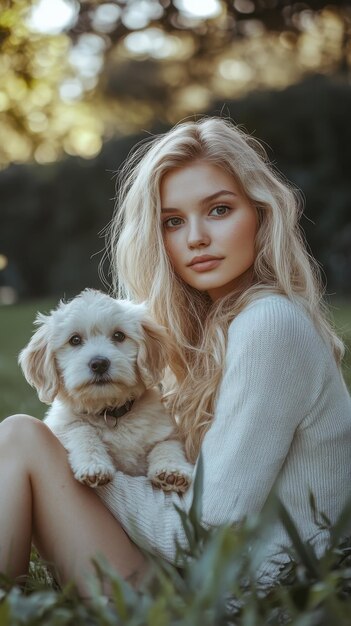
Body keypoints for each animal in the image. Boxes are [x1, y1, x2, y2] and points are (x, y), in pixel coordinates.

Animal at [18, 288, 192, 492]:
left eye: (119, 336)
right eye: (75, 340)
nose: (99, 364)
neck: (109, 411)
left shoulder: (166, 431)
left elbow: (167, 445)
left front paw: (172, 470)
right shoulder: (62, 426)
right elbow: (82, 431)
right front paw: (94, 466)